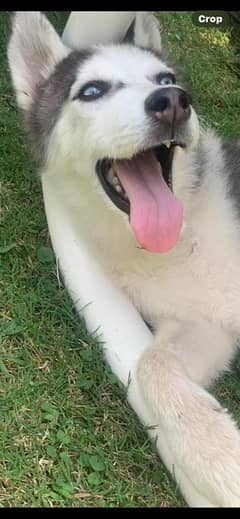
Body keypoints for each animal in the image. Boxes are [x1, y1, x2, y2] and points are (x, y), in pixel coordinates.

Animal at [7, 11, 240, 508]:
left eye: (165, 79)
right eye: (92, 90)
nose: (173, 102)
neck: (181, 240)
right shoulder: (203, 321)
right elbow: (152, 365)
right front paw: (216, 453)